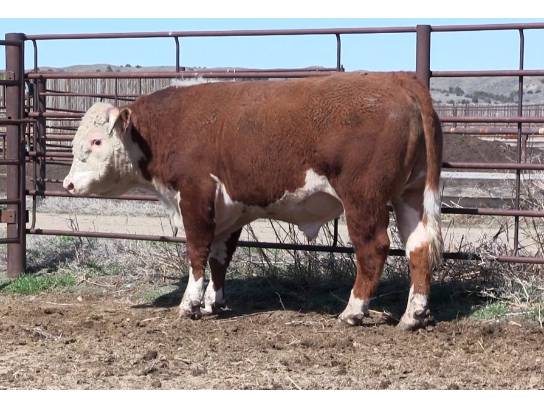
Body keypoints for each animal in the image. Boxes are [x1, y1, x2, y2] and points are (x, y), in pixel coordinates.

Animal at [63, 72, 443, 330]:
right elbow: (219, 257)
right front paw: (214, 302)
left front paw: (189, 304)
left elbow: (197, 251)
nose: (67, 184)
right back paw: (414, 315)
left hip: (363, 198)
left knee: (373, 248)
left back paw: (352, 311)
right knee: (418, 247)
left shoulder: (196, 194)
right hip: (411, 195)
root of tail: (397, 80)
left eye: (96, 141)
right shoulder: (228, 209)